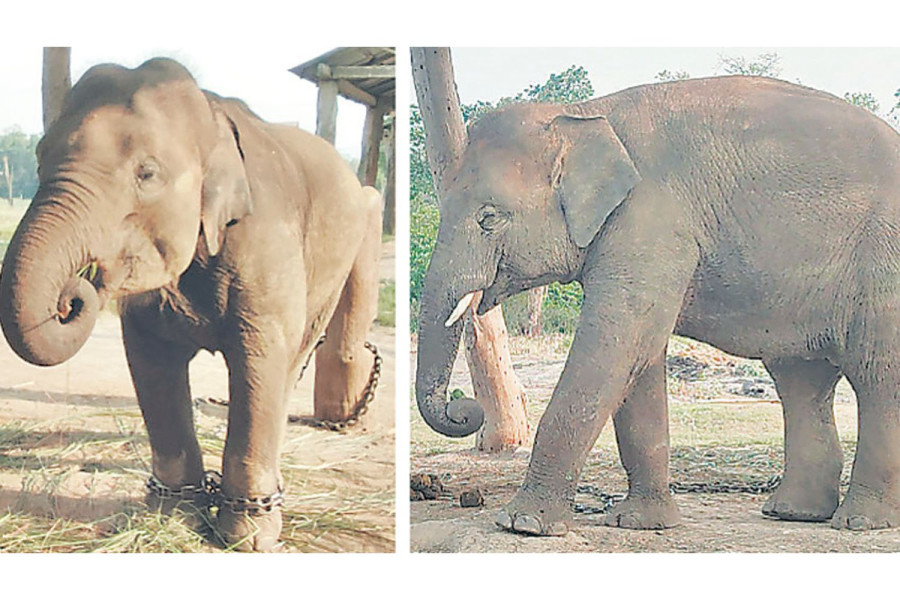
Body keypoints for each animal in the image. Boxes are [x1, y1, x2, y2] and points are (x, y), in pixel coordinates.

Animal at [0, 58, 383, 551]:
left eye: (147, 173)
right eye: (39, 157)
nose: (74, 293)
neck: (211, 114)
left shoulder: (266, 240)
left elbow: (259, 361)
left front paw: (247, 538)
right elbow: (152, 364)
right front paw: (176, 517)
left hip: (336, 264)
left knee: (294, 358)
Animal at [415, 75, 900, 536]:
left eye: (488, 218)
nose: (464, 408)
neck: (583, 114)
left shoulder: (653, 223)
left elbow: (615, 349)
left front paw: (523, 525)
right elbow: (640, 358)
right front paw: (639, 522)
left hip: (883, 266)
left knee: (877, 377)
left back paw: (860, 521)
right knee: (801, 381)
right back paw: (793, 513)